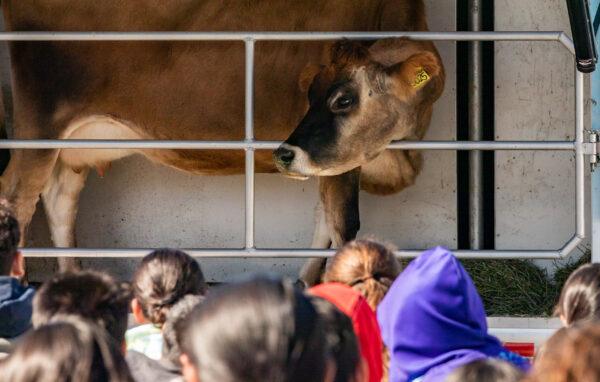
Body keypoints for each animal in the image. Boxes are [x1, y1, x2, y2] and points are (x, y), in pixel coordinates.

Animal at [0, 0, 440, 286]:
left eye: (343, 99)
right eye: (311, 94)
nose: (283, 153)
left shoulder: (324, 157)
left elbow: (322, 221)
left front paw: (308, 283)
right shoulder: (337, 160)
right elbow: (343, 224)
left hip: (74, 145)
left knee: (59, 200)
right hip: (38, 127)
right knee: (16, 199)